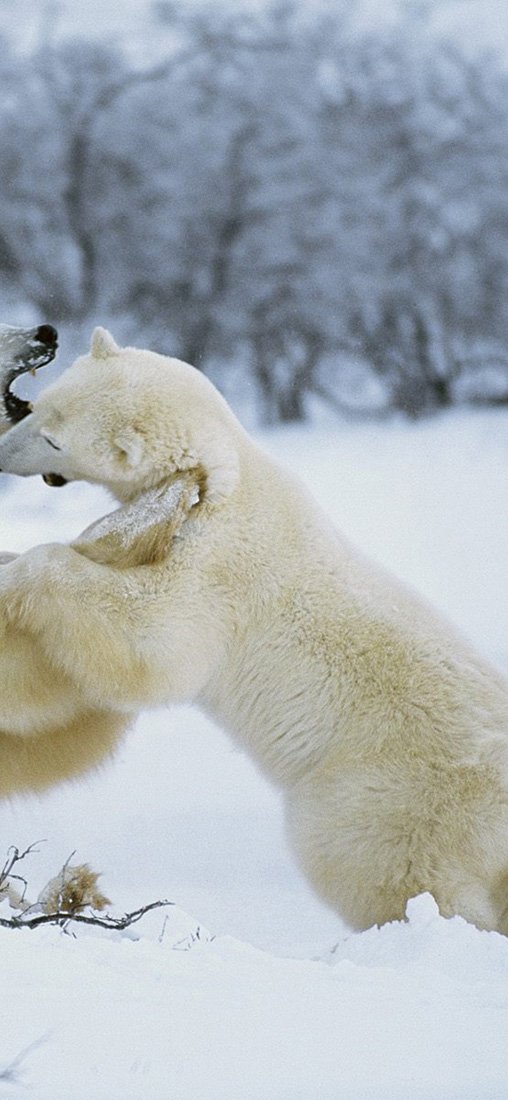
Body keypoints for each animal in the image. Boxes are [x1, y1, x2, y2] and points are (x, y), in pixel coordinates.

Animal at [0, 325, 507, 934]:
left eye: (53, 439)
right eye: (37, 406)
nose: (2, 454)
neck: (227, 475)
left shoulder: (218, 568)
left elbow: (152, 641)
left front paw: (19, 572)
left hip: (384, 798)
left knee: (389, 871)